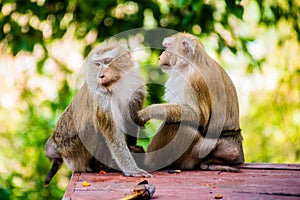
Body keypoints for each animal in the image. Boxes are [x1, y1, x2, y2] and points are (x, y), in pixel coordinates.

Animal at [44, 42, 150, 186]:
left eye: (107, 61)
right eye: (98, 64)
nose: (101, 75)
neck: (117, 83)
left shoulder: (137, 87)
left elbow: (132, 121)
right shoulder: (101, 96)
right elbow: (113, 137)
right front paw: (133, 170)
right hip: (74, 151)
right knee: (94, 127)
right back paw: (101, 166)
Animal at [138, 32, 244, 172]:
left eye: (168, 47)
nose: (161, 56)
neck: (193, 62)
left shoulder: (194, 80)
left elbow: (198, 116)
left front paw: (150, 111)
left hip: (195, 151)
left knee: (175, 124)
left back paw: (149, 163)